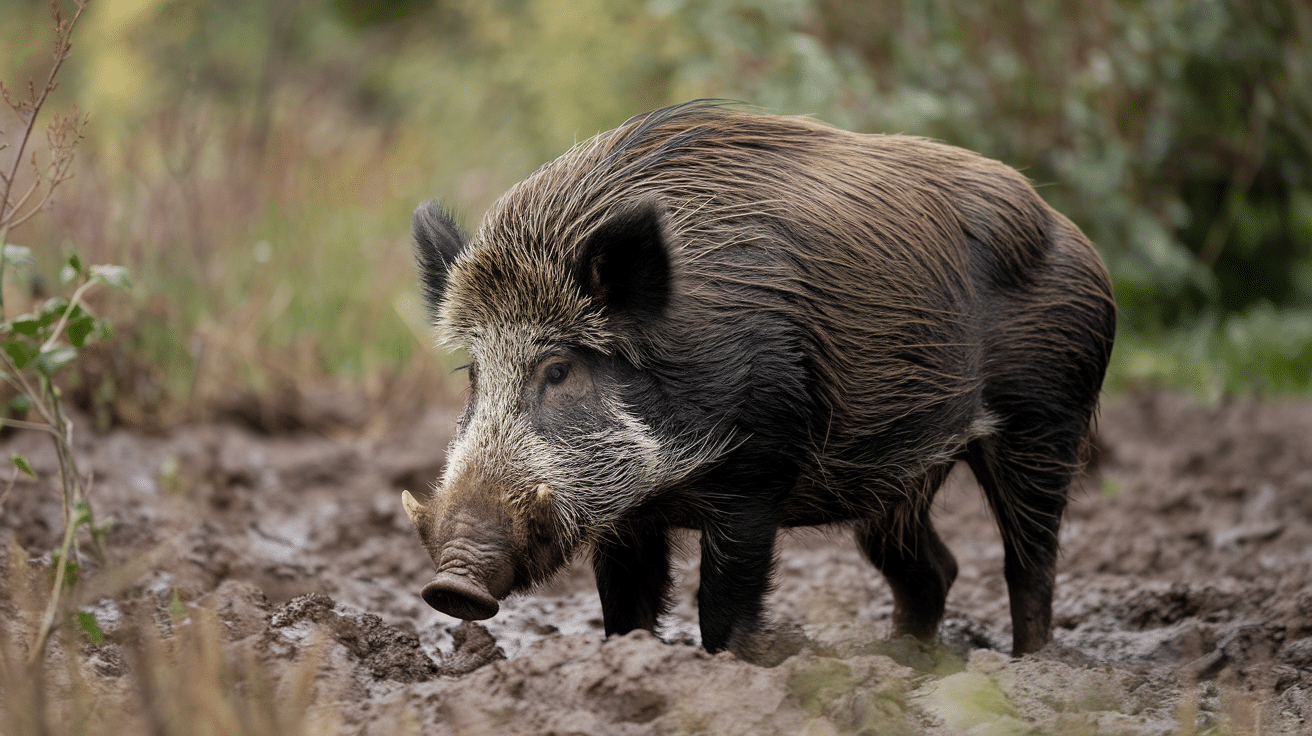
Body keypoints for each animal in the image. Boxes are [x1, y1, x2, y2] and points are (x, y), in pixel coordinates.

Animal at [402, 101, 1115, 661]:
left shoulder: (756, 476)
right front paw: (631, 662)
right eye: (474, 372)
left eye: (558, 368)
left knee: (1030, 561)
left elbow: (723, 606)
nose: (452, 587)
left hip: (1048, 417)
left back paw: (1030, 668)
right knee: (935, 569)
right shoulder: (626, 516)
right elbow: (624, 610)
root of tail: (1071, 232)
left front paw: (730, 671)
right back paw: (902, 664)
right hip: (899, 476)